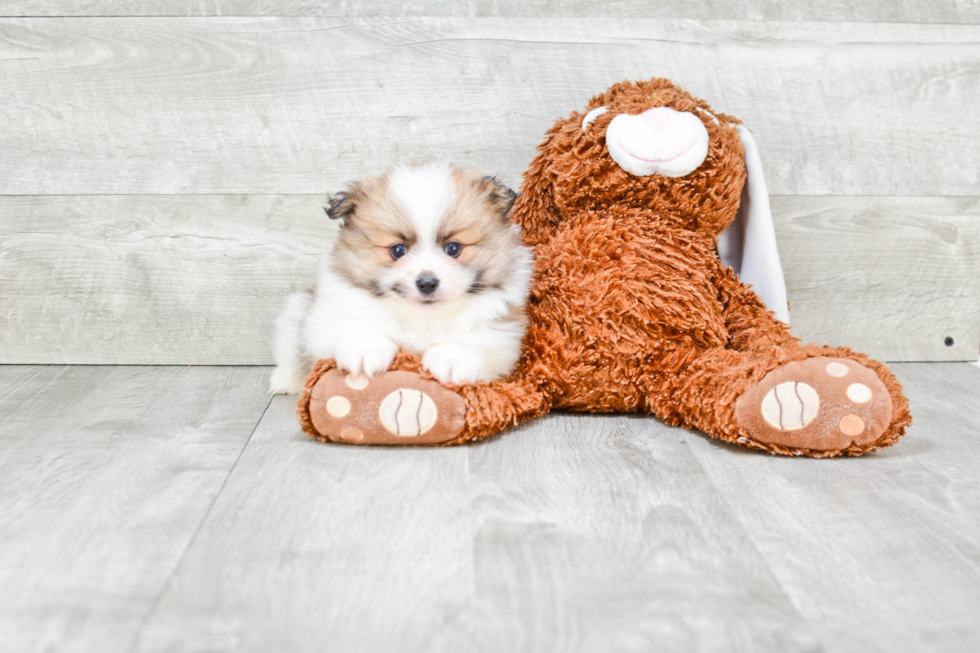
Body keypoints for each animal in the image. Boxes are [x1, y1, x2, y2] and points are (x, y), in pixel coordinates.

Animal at [270, 160, 536, 394]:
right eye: (397, 250)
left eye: (453, 248)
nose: (427, 283)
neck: (422, 318)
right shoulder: (327, 317)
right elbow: (355, 325)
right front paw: (364, 350)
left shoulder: (502, 329)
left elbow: (476, 339)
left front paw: (452, 360)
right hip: (295, 311)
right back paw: (284, 381)